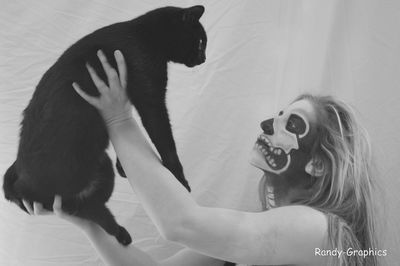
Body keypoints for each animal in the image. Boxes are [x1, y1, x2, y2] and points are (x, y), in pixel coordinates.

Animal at [3, 5, 208, 245]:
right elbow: (165, 141)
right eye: (201, 42)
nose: (204, 58)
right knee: (87, 210)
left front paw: (123, 165)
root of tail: (18, 175)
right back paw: (120, 234)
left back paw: (119, 233)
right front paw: (180, 180)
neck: (145, 37)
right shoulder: (151, 100)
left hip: (101, 168)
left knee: (90, 209)